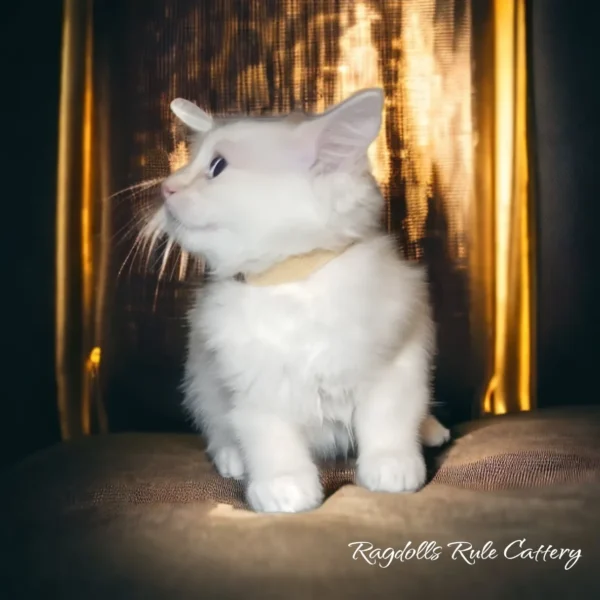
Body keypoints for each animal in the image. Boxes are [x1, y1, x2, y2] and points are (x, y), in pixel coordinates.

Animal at [146, 88, 450, 510]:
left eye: (218, 166)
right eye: (188, 163)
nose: (167, 187)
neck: (291, 284)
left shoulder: (395, 360)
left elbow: (387, 421)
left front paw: (393, 468)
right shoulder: (253, 386)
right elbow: (272, 441)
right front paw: (284, 489)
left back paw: (432, 429)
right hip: (199, 381)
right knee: (217, 427)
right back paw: (232, 458)